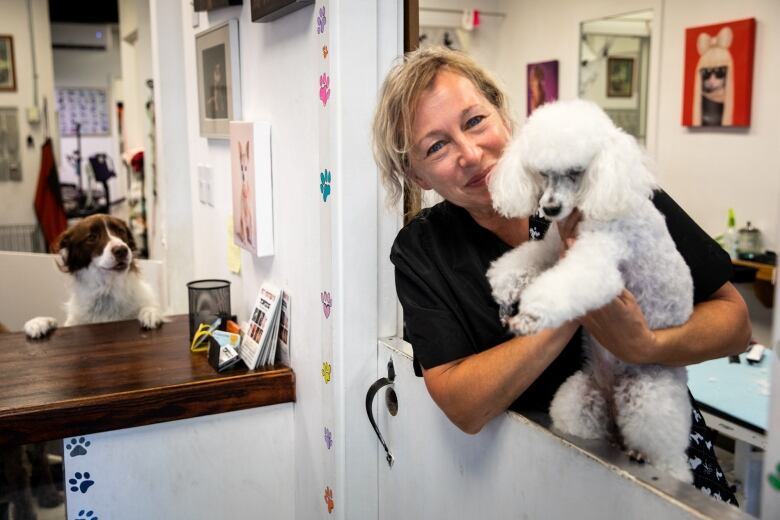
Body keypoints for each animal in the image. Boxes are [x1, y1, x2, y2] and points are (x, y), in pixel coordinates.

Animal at [24, 214, 165, 340]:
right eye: (92, 237)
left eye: (121, 231)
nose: (122, 250)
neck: (107, 290)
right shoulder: (74, 321)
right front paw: (40, 322)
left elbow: (150, 308)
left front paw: (150, 312)